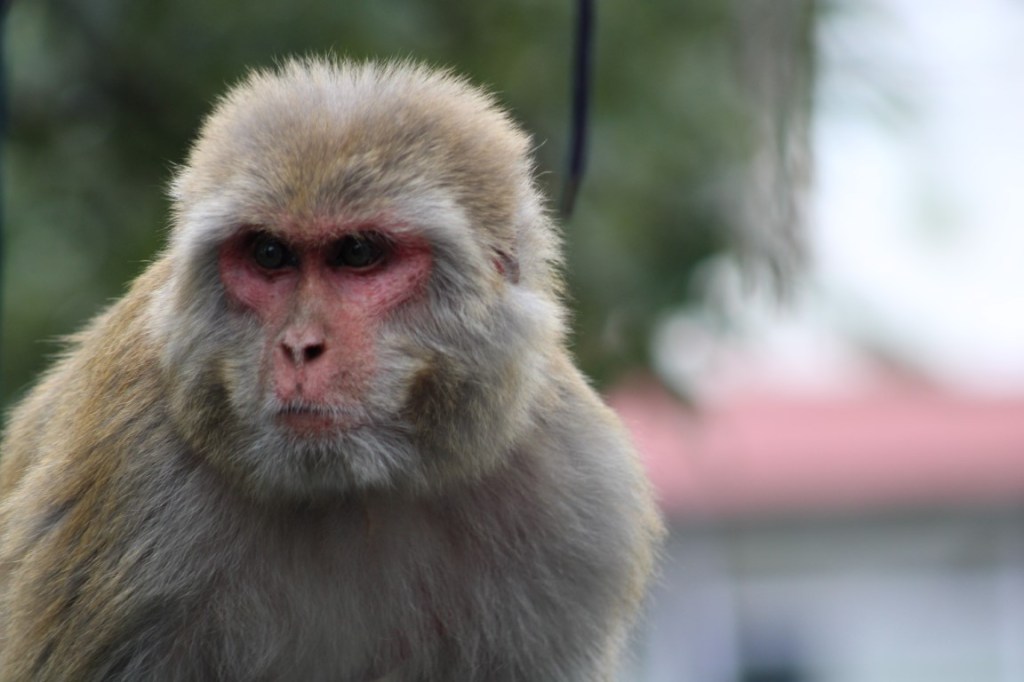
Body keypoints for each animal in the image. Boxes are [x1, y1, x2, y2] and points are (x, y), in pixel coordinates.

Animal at [0, 58, 663, 681]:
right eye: (270, 254)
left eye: (358, 253)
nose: (300, 347)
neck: (357, 492)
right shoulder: (129, 480)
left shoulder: (580, 506)